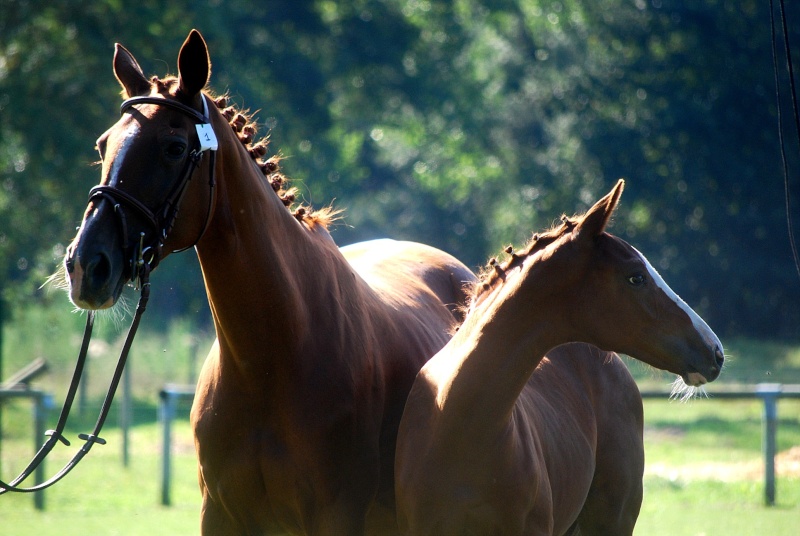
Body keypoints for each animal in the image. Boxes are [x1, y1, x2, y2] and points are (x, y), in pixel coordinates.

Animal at [64, 31, 476, 532]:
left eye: (174, 147)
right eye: (103, 144)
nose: (87, 265)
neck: (273, 357)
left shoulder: (335, 517)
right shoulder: (220, 514)